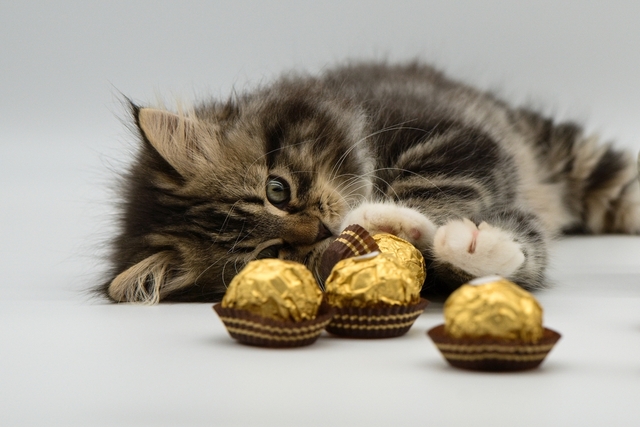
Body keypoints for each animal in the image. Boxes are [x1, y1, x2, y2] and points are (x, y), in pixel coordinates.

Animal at [99, 62, 640, 304]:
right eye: (271, 254)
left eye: (277, 190)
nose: (321, 231)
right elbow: (516, 254)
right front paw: (471, 246)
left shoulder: (456, 139)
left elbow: (436, 189)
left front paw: (394, 220)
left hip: (573, 158)